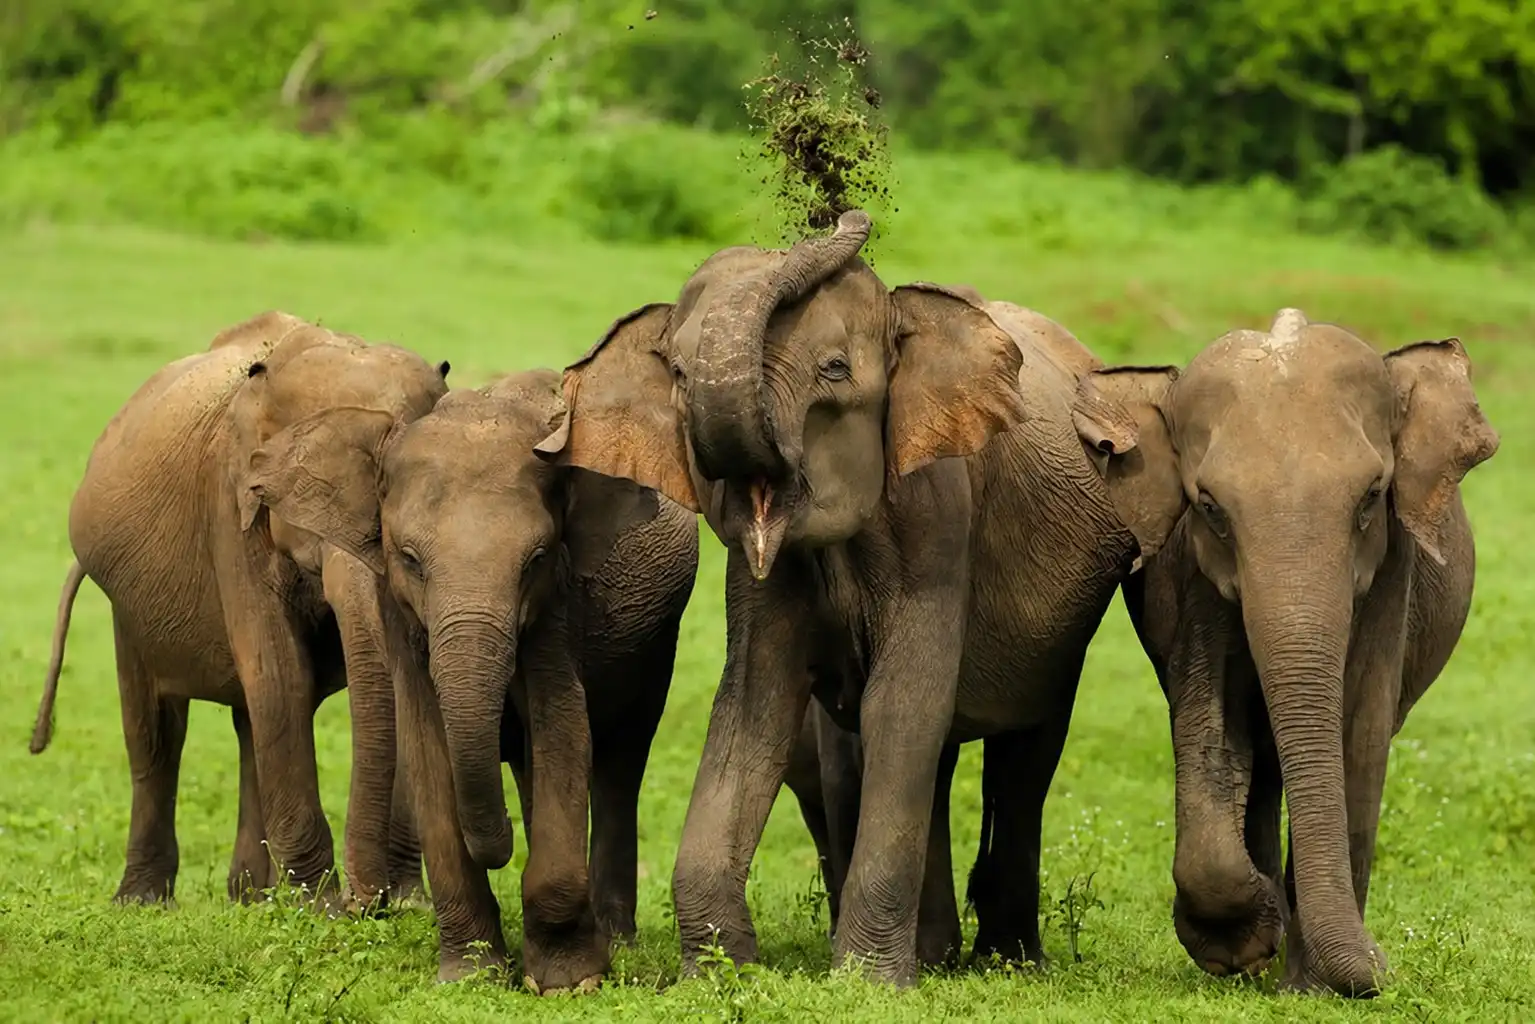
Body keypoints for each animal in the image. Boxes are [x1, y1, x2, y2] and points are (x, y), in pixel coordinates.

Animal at [29, 311, 448, 909]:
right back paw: (145, 902)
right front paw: (323, 908)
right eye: (299, 496)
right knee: (157, 733)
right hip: (127, 608)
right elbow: (279, 674)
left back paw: (250, 897)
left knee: (250, 723)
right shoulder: (230, 508)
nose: (369, 903)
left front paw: (407, 905)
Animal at [238, 367, 699, 991]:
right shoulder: (401, 615)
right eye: (409, 558)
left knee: (621, 760)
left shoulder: (557, 608)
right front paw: (471, 976)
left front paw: (567, 982)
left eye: (536, 559)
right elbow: (428, 748)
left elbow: (562, 730)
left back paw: (615, 940)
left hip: (656, 641)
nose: (500, 840)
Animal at [533, 209, 1158, 985]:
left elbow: (903, 701)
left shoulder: (937, 518)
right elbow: (754, 702)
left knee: (1023, 754)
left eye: (833, 372)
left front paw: (868, 982)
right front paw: (719, 973)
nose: (842, 214)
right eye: (676, 374)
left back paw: (1005, 961)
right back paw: (938, 954)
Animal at [1071, 308, 1500, 995]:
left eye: (1371, 497)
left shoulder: (1392, 574)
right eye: (1210, 508)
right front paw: (1244, 944)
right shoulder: (1192, 575)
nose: (1386, 965)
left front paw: (1313, 985)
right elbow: (1211, 720)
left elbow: (1359, 734)